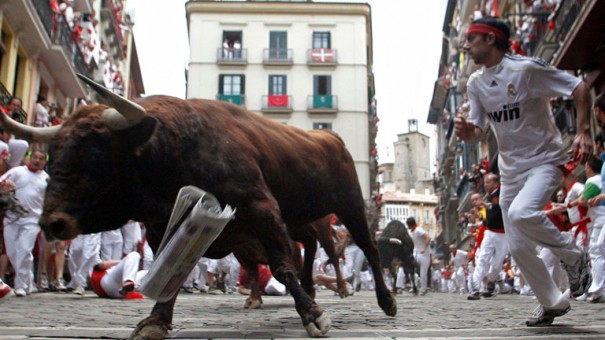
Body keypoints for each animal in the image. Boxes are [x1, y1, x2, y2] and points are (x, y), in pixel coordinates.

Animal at [0, 75, 396, 340]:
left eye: (95, 157)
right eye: (53, 158)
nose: (53, 223)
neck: (176, 145)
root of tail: (330, 137)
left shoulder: (261, 208)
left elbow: (282, 266)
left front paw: (313, 315)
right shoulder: (166, 227)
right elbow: (170, 273)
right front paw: (155, 321)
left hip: (349, 206)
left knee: (369, 250)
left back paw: (385, 300)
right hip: (306, 219)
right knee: (312, 250)